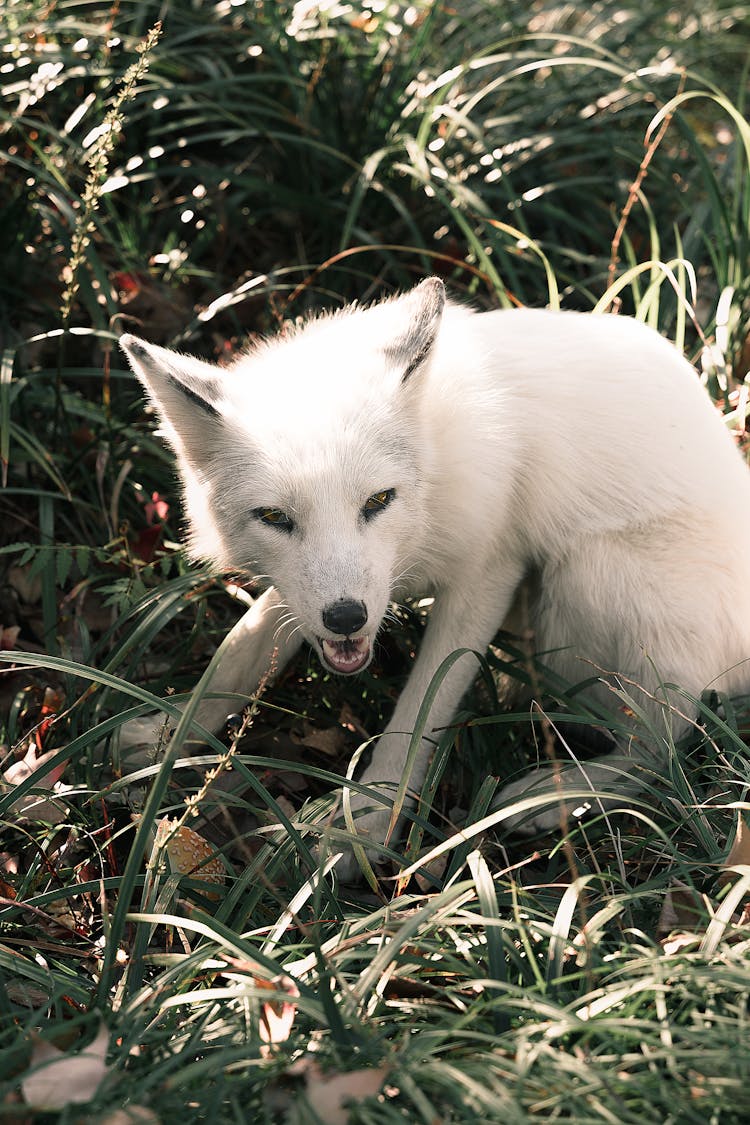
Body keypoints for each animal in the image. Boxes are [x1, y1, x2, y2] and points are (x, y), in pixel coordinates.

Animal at [120, 281, 750, 868]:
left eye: (378, 501)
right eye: (275, 518)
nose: (345, 618)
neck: (434, 472)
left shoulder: (489, 571)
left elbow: (419, 712)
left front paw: (362, 826)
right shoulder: (317, 593)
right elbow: (239, 651)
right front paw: (163, 740)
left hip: (589, 577)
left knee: (663, 755)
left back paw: (559, 796)